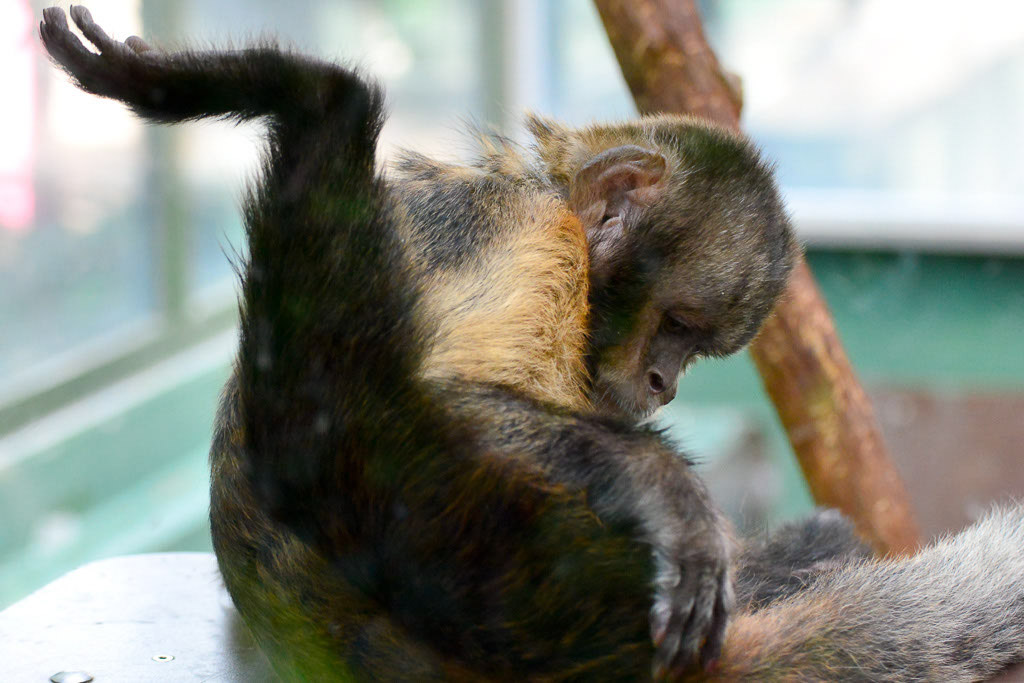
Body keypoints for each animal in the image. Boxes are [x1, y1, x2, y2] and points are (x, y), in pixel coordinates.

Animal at [40, 7, 1024, 682]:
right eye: (676, 328)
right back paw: (313, 102)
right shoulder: (528, 232)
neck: (545, 193)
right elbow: (454, 406)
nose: (663, 381)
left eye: (695, 350)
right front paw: (670, 496)